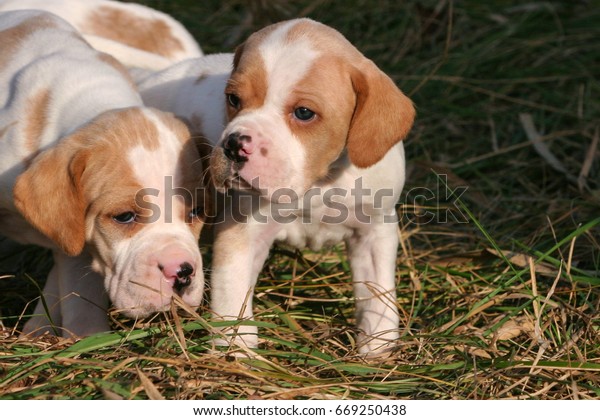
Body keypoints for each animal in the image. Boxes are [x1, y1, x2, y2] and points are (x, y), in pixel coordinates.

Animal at [0, 9, 206, 338]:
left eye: (197, 211)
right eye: (124, 216)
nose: (182, 271)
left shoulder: (75, 235)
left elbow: (78, 283)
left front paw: (87, 337)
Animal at [138, 19, 414, 354]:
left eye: (304, 113)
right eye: (233, 99)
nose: (234, 145)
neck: (319, 184)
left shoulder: (375, 228)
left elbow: (378, 293)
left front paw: (378, 345)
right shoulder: (242, 233)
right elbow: (232, 294)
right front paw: (236, 350)